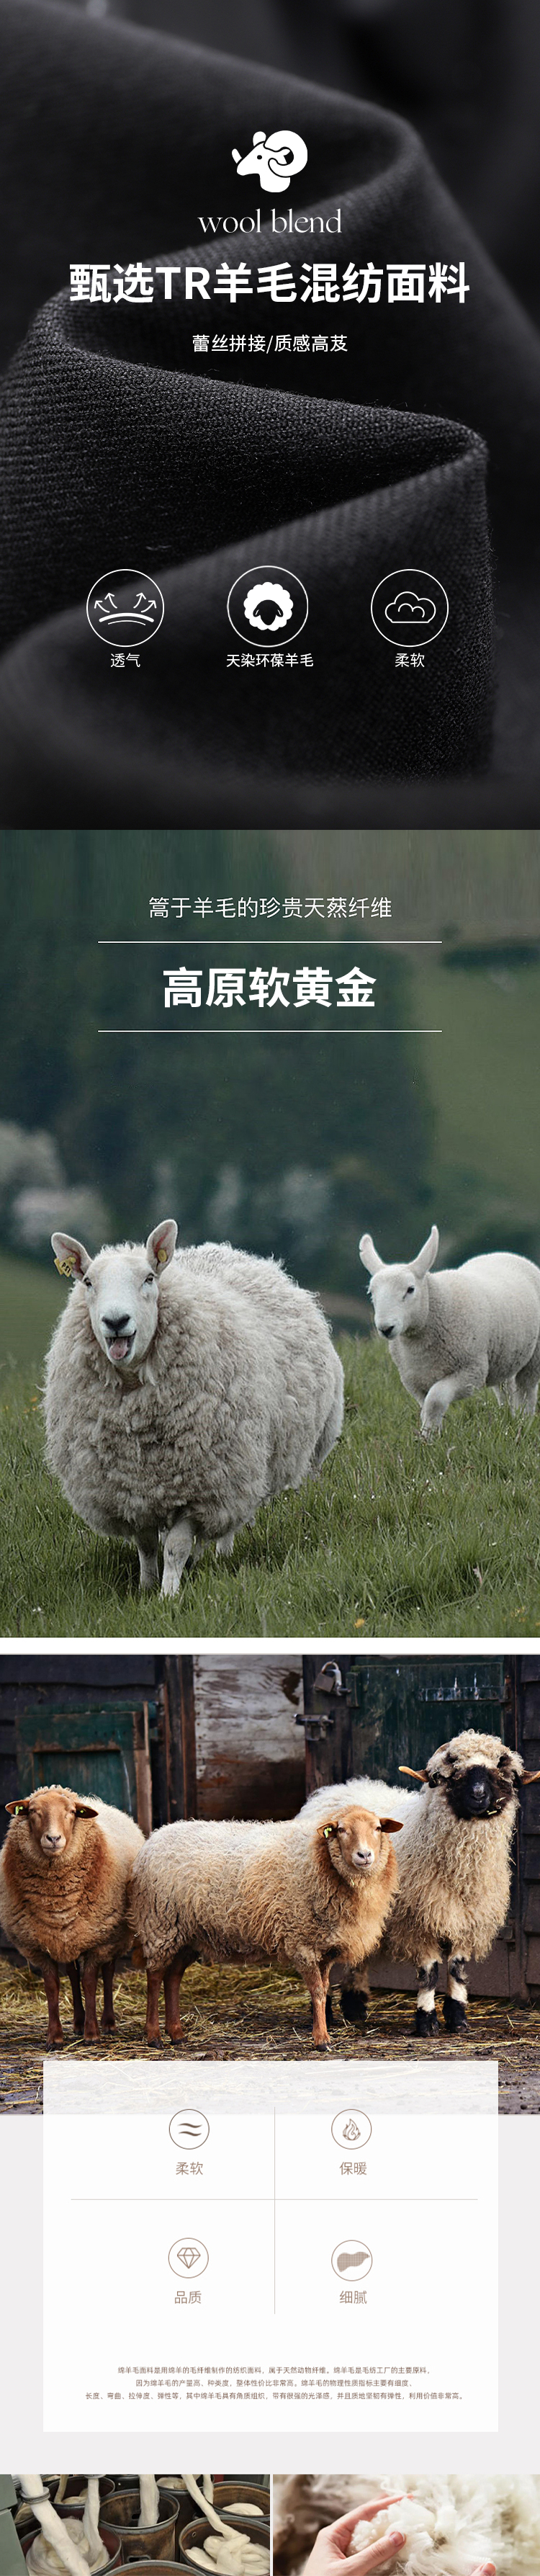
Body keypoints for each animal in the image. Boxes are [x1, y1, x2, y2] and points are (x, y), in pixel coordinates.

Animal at [0, 1784, 143, 2044]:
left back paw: (108, 2023)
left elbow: (90, 1983)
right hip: (67, 1939)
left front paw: (92, 2034)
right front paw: (55, 2037)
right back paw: (77, 2022)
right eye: (33, 1811)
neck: (57, 1901)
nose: (53, 1839)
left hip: (114, 1936)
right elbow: (53, 1986)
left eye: (72, 1813)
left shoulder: (97, 1941)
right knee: (72, 1975)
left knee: (108, 1973)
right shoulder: (40, 1945)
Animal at [44, 1220, 344, 1595]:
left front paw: (168, 1594)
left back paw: (219, 1556)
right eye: (87, 1282)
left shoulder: (201, 1486)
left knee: (230, 1520)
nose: (116, 1321)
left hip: (242, 1467)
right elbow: (146, 1545)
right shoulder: (129, 1491)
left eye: (149, 1279)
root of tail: (226, 1250)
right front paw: (146, 1587)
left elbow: (175, 1547)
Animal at [127, 1804, 403, 2050]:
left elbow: (324, 1990)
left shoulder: (325, 1946)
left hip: (187, 1934)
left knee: (173, 1978)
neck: (318, 1859)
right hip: (160, 1924)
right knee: (155, 1978)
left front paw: (322, 2031)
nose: (364, 1855)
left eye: (378, 1828)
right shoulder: (301, 1940)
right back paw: (154, 2036)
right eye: (342, 1830)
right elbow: (316, 1991)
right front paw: (321, 2040)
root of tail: (155, 1837)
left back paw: (177, 2034)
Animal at [298, 1731, 540, 2037]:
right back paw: (326, 2013)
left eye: (499, 1772)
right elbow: (430, 1972)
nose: (478, 1795)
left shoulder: (466, 1919)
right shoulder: (419, 1921)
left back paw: (355, 2008)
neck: (462, 1873)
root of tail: (331, 1790)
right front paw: (426, 2021)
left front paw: (458, 2019)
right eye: (454, 1772)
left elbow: (456, 1969)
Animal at [359, 1224, 540, 1435]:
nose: (386, 1328)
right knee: (507, 1388)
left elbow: (435, 1400)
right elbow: (426, 1407)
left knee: (526, 1390)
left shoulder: (471, 1371)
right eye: (371, 1293)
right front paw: (430, 1434)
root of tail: (505, 1254)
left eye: (410, 1289)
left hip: (534, 1356)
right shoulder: (415, 1381)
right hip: (504, 1355)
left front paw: (428, 1436)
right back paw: (509, 1421)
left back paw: (523, 1422)